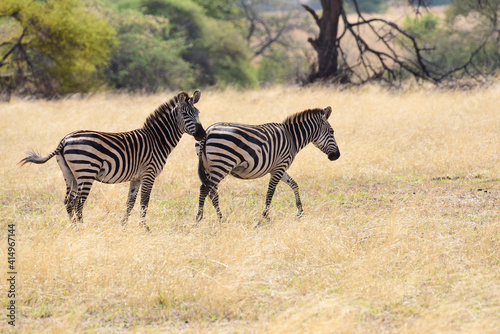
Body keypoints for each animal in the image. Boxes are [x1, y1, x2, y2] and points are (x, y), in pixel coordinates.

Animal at [19, 90, 206, 228]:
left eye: (198, 113)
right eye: (185, 114)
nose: (202, 135)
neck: (157, 139)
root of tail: (64, 139)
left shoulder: (136, 177)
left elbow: (130, 202)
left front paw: (123, 226)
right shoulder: (149, 173)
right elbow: (144, 202)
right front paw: (145, 228)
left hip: (69, 174)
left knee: (68, 202)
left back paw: (73, 227)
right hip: (86, 172)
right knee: (78, 202)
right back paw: (82, 228)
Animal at [195, 105, 340, 222]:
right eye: (332, 131)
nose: (337, 156)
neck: (292, 138)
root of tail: (208, 131)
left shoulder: (278, 167)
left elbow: (294, 184)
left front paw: (300, 211)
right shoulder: (280, 167)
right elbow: (270, 191)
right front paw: (265, 216)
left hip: (209, 167)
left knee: (211, 192)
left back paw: (217, 218)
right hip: (222, 164)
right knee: (206, 189)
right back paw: (202, 218)